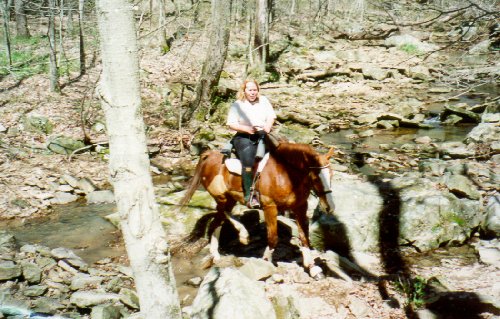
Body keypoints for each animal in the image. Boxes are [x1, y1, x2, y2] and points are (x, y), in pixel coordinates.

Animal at [180, 144, 336, 276]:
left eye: (331, 175)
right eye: (316, 178)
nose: (330, 207)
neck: (286, 175)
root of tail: (210, 155)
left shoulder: (300, 207)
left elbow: (304, 237)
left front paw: (313, 268)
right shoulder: (270, 207)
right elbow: (273, 238)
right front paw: (266, 260)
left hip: (229, 199)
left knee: (218, 221)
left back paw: (223, 249)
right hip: (222, 198)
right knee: (220, 216)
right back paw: (237, 239)